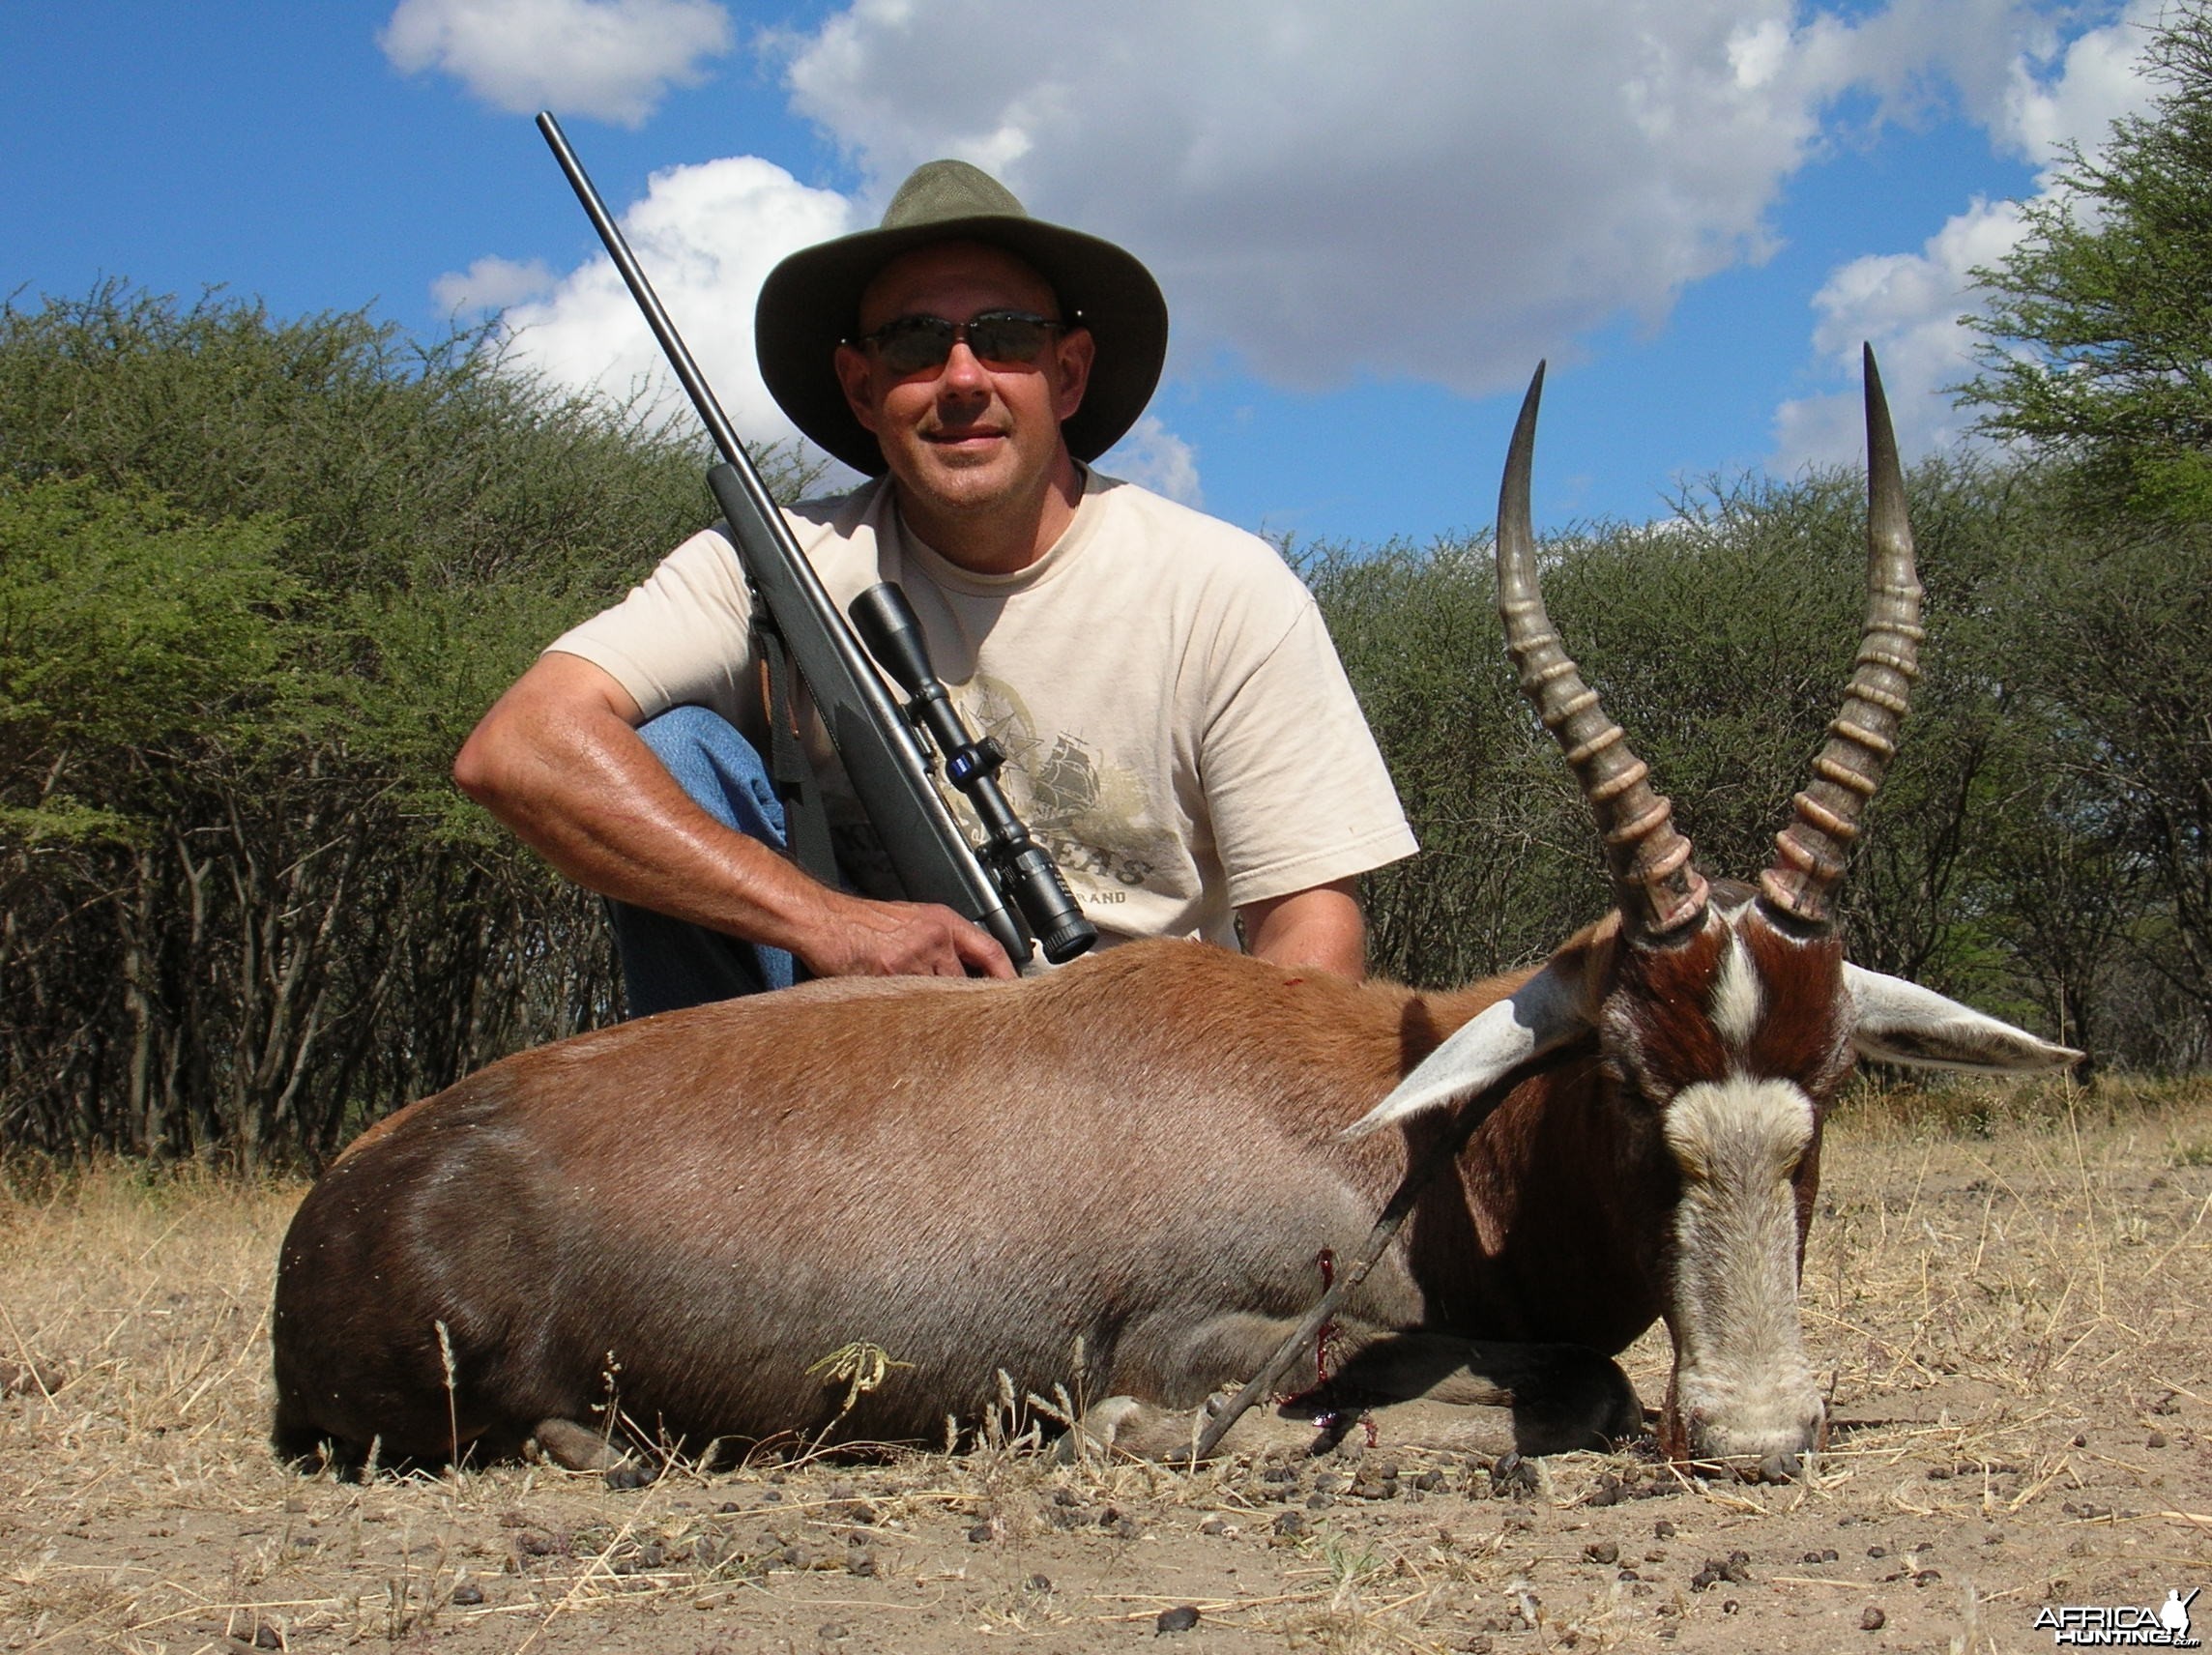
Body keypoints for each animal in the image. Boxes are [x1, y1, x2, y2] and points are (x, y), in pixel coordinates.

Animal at [272, 349, 2070, 1477]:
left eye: (1829, 1079)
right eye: (1631, 1075)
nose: (1759, 1432)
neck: (1411, 1132)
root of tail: (342, 1202)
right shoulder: (1200, 1347)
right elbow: (1572, 1382)